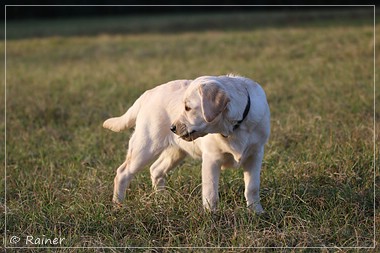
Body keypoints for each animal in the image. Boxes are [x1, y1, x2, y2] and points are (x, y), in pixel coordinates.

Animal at [104, 74, 270, 212]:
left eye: (188, 108)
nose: (172, 128)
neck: (233, 128)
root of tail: (148, 93)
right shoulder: (211, 158)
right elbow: (210, 192)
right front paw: (211, 215)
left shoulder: (255, 155)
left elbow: (252, 187)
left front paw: (256, 212)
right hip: (145, 146)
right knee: (123, 172)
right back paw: (118, 205)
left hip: (176, 151)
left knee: (156, 169)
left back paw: (162, 200)